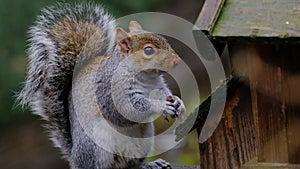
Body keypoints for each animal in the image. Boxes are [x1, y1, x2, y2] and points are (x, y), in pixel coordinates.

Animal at [18, 2, 185, 169]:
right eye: (148, 50)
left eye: (165, 40)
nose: (177, 61)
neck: (146, 77)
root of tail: (74, 158)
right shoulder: (108, 89)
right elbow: (123, 110)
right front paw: (161, 106)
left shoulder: (157, 86)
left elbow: (164, 93)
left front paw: (178, 103)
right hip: (96, 144)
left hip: (144, 138)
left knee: (131, 164)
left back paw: (149, 164)